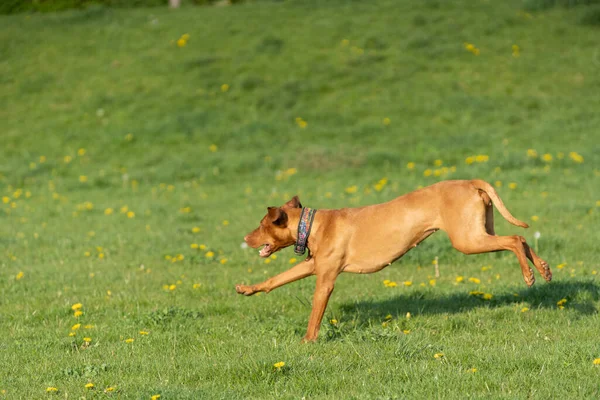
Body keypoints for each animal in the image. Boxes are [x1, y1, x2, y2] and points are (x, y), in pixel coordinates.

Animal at [236, 180, 552, 342]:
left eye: (261, 225)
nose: (245, 237)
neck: (313, 225)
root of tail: (469, 182)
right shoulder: (313, 265)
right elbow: (276, 280)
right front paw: (248, 289)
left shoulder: (325, 280)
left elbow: (315, 314)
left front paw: (308, 342)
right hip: (480, 232)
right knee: (521, 239)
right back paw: (544, 269)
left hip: (468, 240)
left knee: (515, 240)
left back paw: (529, 275)